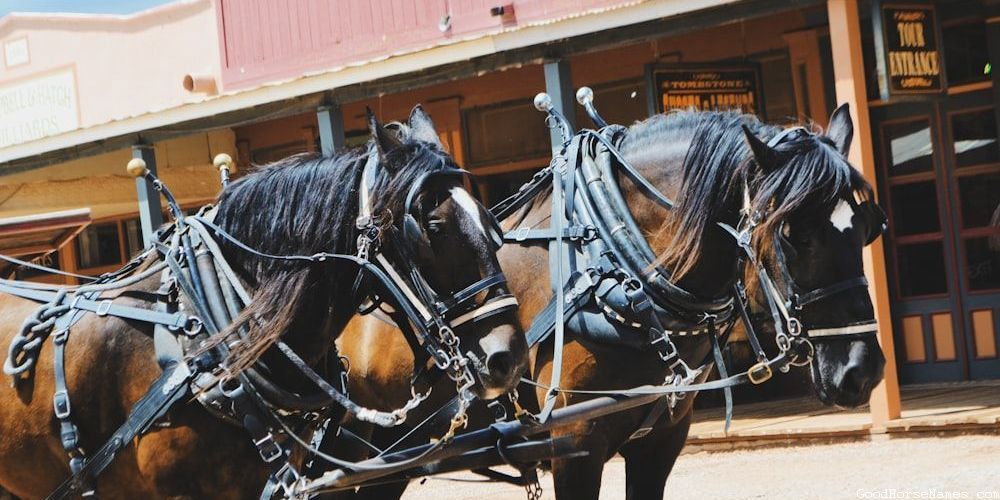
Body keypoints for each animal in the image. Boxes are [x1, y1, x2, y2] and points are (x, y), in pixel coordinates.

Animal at [333, 102, 888, 500]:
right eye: (793, 234)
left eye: (867, 228)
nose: (861, 369)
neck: (617, 273)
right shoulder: (575, 447)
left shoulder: (661, 442)